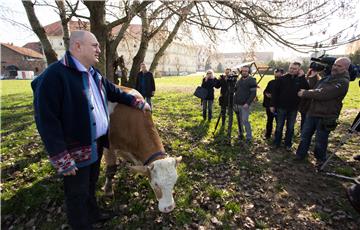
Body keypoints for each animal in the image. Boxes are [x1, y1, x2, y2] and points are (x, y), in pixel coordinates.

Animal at [103, 86, 183, 214]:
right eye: (156, 184)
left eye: (175, 181)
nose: (169, 208)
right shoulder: (109, 146)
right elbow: (111, 170)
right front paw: (108, 190)